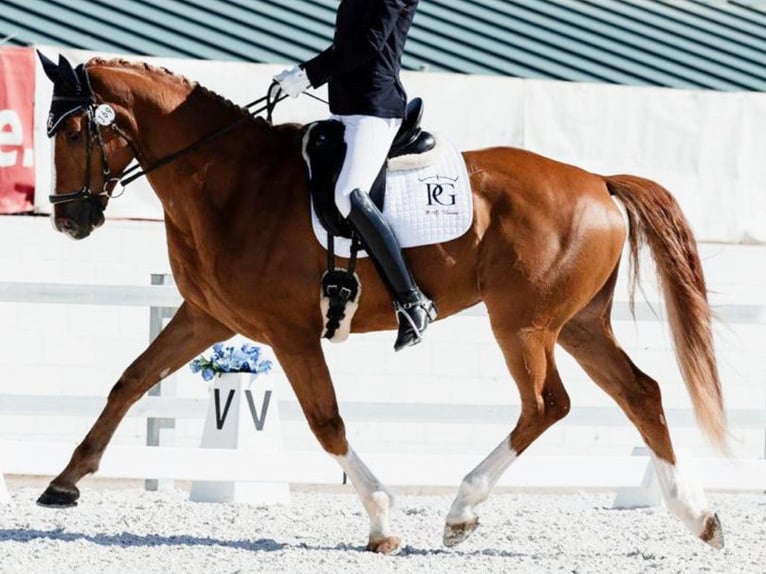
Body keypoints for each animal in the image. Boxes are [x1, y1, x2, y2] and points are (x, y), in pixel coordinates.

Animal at [37, 57, 728, 552]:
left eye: (72, 131)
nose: (70, 220)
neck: (227, 182)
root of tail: (599, 183)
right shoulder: (205, 318)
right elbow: (130, 381)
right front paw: (64, 483)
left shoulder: (290, 334)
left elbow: (326, 424)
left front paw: (381, 521)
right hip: (578, 323)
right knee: (640, 392)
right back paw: (699, 518)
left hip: (524, 323)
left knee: (545, 404)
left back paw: (461, 512)